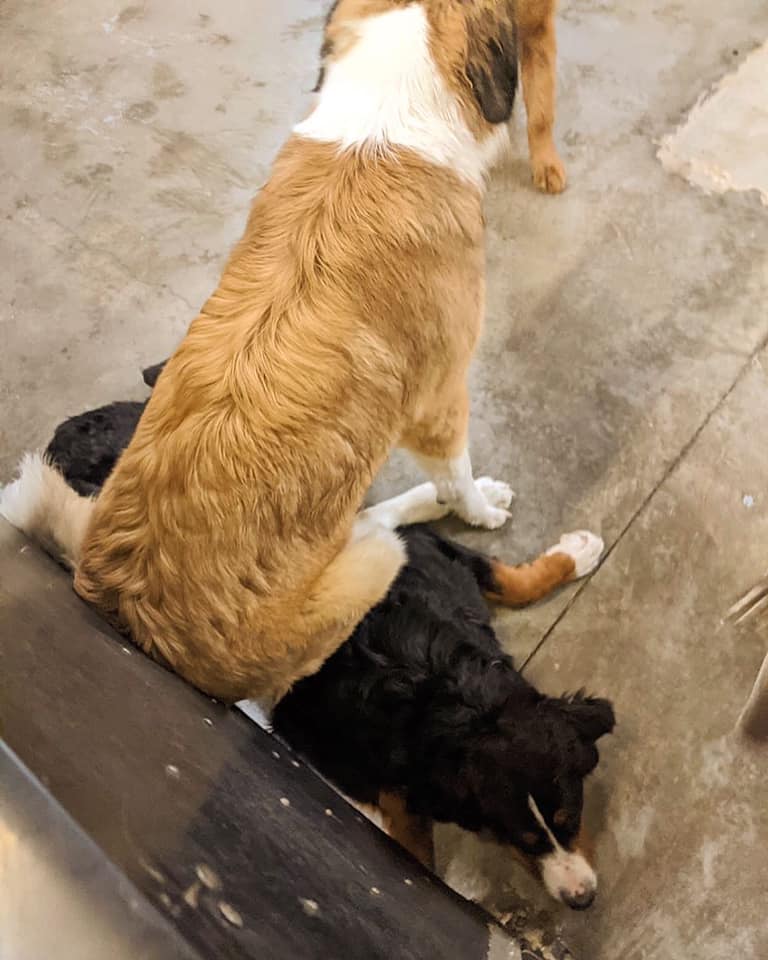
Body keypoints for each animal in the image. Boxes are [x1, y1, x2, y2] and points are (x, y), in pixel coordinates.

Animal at [1, 1, 566, 704]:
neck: (385, 120)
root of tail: (120, 604)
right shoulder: (441, 401)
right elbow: (457, 475)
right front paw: (482, 509)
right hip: (373, 562)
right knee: (381, 527)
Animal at [44, 382, 612, 910]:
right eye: (521, 837)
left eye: (570, 815)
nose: (580, 898)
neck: (447, 692)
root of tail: (67, 434)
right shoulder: (324, 742)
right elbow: (412, 839)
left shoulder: (437, 561)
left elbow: (508, 578)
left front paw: (575, 556)